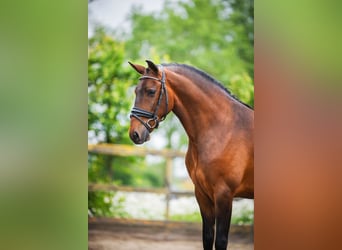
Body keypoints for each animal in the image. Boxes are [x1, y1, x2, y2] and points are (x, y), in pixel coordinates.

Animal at [127, 59, 252, 249]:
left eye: (151, 91)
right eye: (135, 91)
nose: (134, 134)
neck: (222, 128)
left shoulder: (224, 194)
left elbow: (221, 240)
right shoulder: (202, 194)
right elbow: (207, 237)